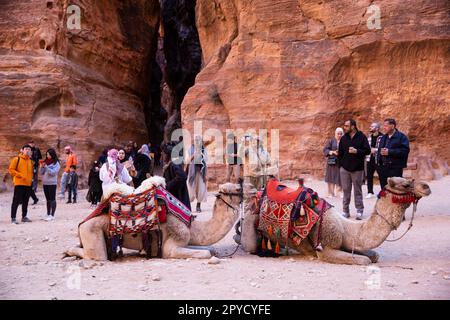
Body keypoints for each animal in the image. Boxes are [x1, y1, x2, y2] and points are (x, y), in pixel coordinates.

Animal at [64, 178, 243, 260]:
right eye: (233, 190)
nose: (242, 187)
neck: (192, 227)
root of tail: (81, 224)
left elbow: (210, 249)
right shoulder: (172, 245)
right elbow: (206, 253)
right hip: (90, 230)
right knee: (97, 255)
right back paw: (67, 252)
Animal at [239, 178, 432, 264]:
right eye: (405, 184)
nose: (426, 187)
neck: (346, 228)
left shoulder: (348, 243)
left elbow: (373, 255)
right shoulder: (326, 248)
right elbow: (365, 260)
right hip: (250, 220)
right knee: (248, 244)